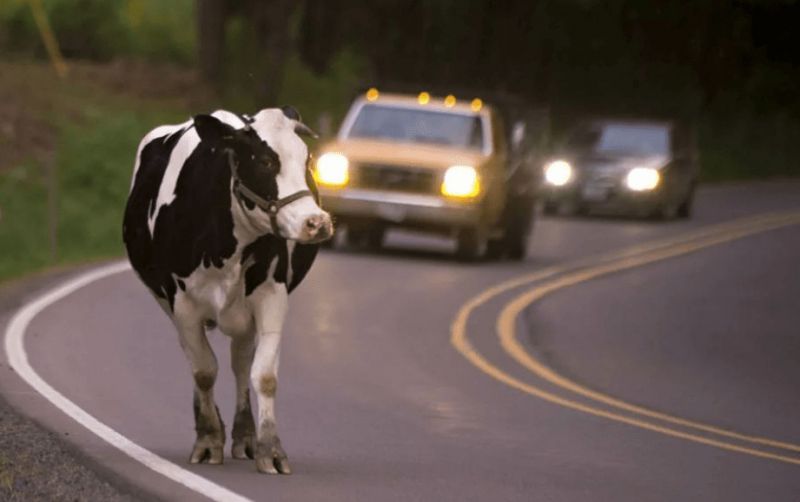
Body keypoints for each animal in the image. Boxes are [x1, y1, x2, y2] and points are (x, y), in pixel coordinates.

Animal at [121, 106, 332, 474]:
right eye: (265, 161)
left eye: (307, 160)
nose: (316, 222)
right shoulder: (182, 303)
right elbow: (204, 371)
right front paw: (208, 441)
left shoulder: (272, 295)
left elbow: (264, 375)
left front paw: (270, 450)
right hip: (165, 302)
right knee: (196, 358)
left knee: (240, 362)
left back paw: (245, 435)